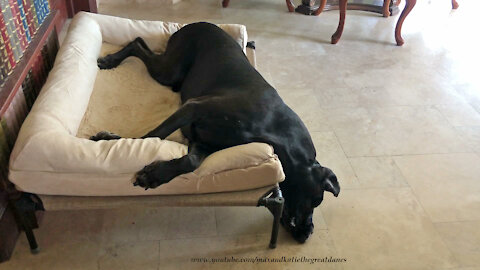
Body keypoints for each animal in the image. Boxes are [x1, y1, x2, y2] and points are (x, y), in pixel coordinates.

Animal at [92, 22, 340, 244]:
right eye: (315, 200)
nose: (306, 233)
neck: (275, 129)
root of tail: (194, 23)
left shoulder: (202, 142)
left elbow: (190, 162)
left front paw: (156, 174)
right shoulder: (194, 107)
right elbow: (154, 134)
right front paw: (113, 140)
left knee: (141, 43)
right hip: (170, 70)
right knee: (136, 43)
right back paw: (110, 60)